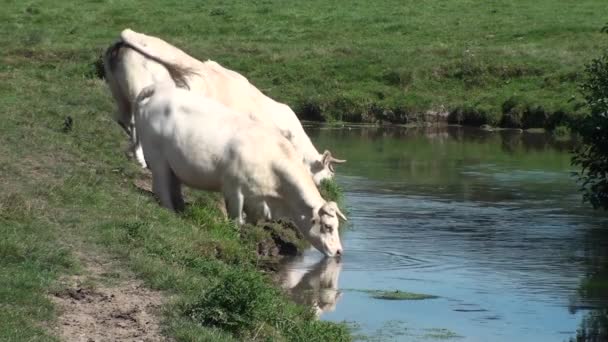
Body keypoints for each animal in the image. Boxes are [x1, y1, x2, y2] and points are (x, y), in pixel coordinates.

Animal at [102, 28, 344, 184]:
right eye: (328, 176)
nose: (331, 189)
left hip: (120, 93)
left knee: (124, 120)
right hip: (138, 90)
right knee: (134, 123)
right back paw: (141, 159)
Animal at [136, 81, 350, 255]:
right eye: (328, 226)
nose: (339, 251)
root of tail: (158, 90)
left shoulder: (257, 199)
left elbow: (252, 220)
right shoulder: (234, 189)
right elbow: (236, 219)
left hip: (173, 164)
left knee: (174, 186)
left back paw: (181, 209)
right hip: (158, 158)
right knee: (161, 188)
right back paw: (170, 211)